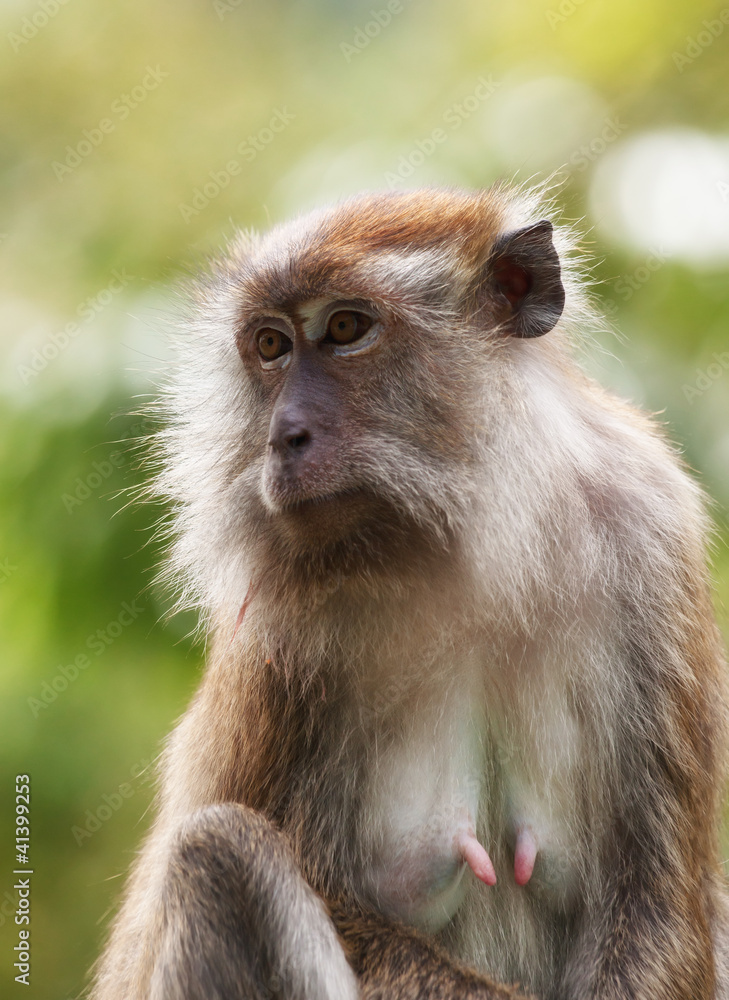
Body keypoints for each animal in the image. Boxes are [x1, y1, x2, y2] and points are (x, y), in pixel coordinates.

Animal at [90, 186, 729, 1000]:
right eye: (270, 346)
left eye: (344, 329)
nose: (282, 436)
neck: (475, 550)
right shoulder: (285, 632)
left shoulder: (649, 530)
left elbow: (655, 904)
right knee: (219, 851)